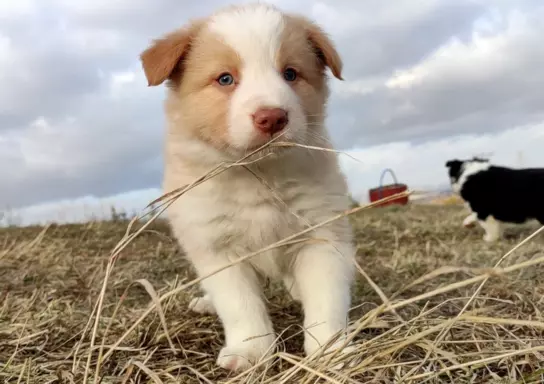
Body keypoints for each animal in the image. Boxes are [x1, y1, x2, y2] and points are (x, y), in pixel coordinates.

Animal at [138, 0, 354, 372]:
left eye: (290, 74)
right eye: (225, 79)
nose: (272, 117)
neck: (258, 175)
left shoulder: (321, 233)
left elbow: (326, 300)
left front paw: (329, 350)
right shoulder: (216, 247)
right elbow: (240, 306)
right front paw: (250, 351)